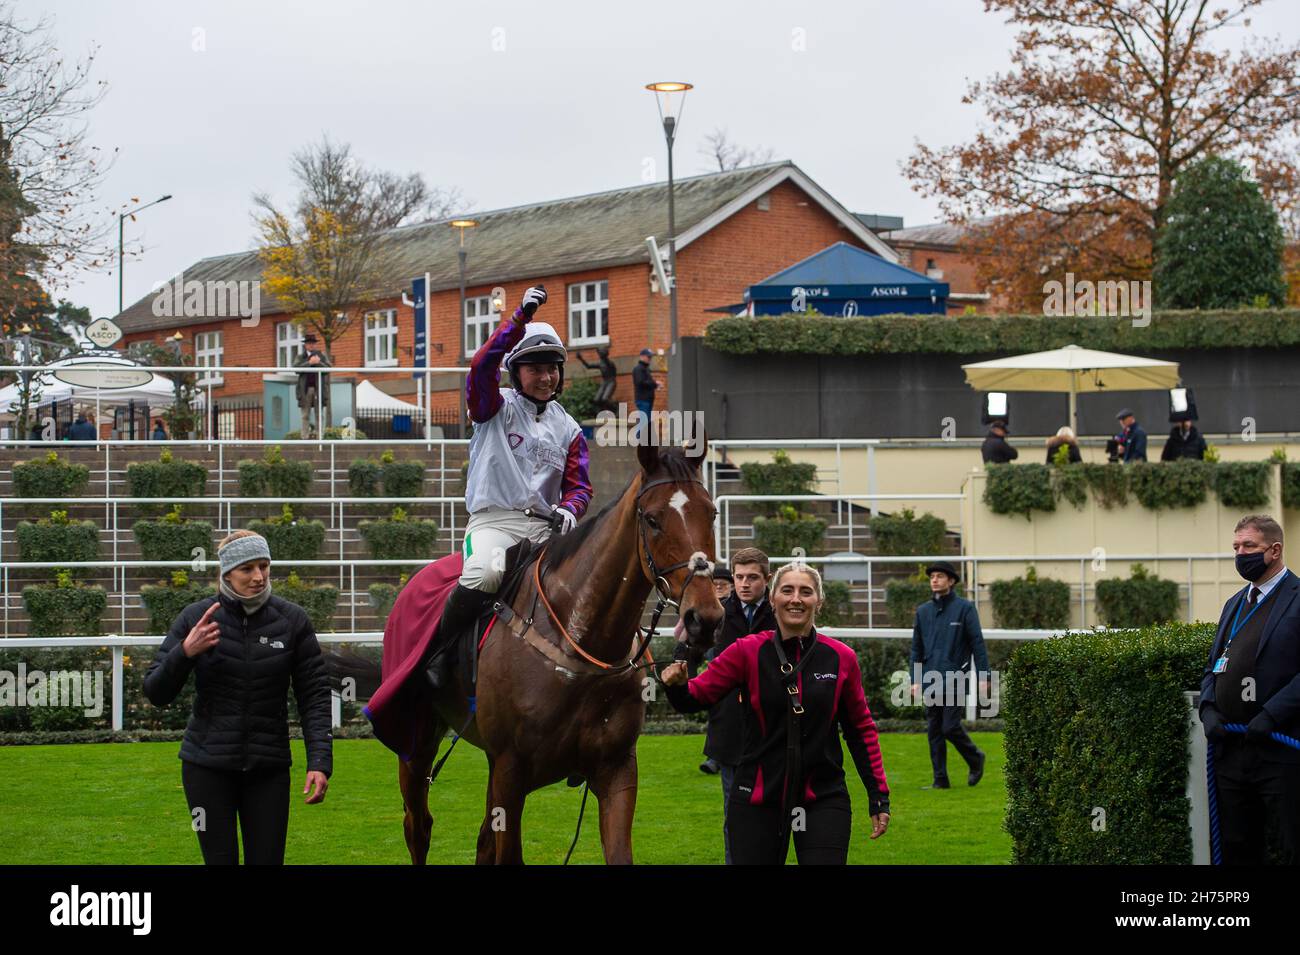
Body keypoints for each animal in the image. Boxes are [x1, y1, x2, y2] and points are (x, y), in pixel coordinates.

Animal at [395, 441, 722, 867]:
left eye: (711, 512)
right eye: (652, 520)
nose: (705, 617)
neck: (580, 642)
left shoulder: (617, 768)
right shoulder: (510, 770)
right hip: (416, 744)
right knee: (418, 826)